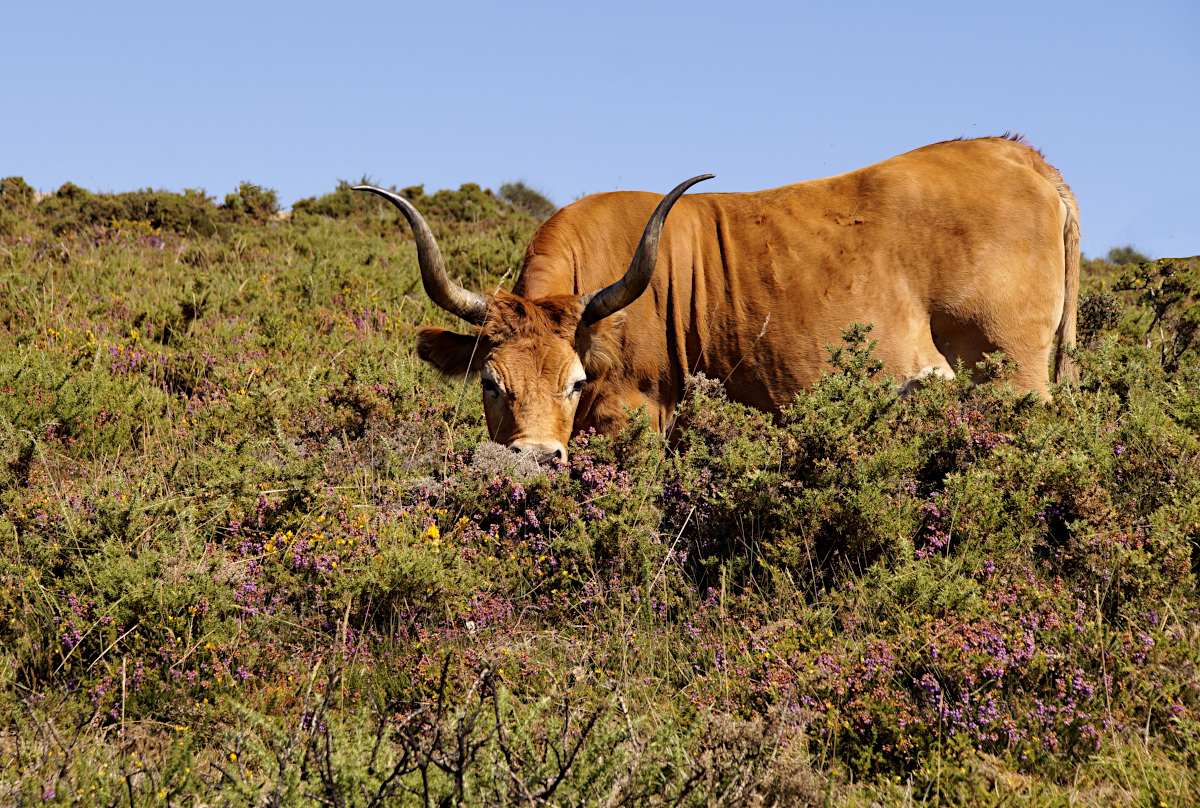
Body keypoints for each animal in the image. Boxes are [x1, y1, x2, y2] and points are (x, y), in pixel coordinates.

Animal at [355, 133, 1080, 461]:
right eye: (490, 383)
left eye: (575, 382)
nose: (534, 459)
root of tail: (1018, 155)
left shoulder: (633, 413)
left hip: (1010, 375)